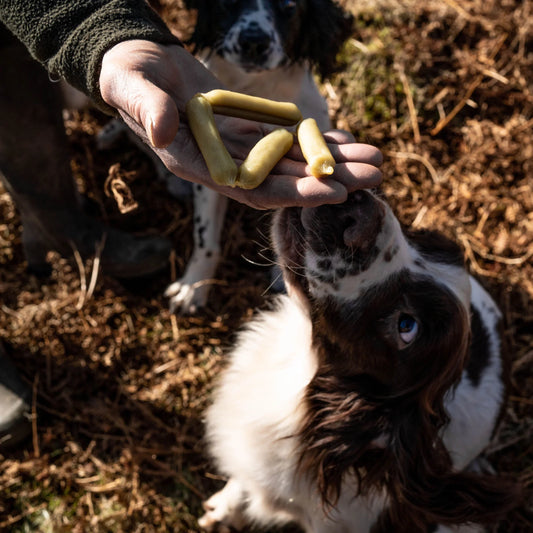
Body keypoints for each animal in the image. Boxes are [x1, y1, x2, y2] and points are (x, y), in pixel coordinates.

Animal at [163, 0, 354, 312]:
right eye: (227, 2)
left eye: (289, 6)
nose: (253, 41)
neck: (258, 88)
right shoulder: (207, 188)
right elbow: (205, 237)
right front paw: (194, 286)